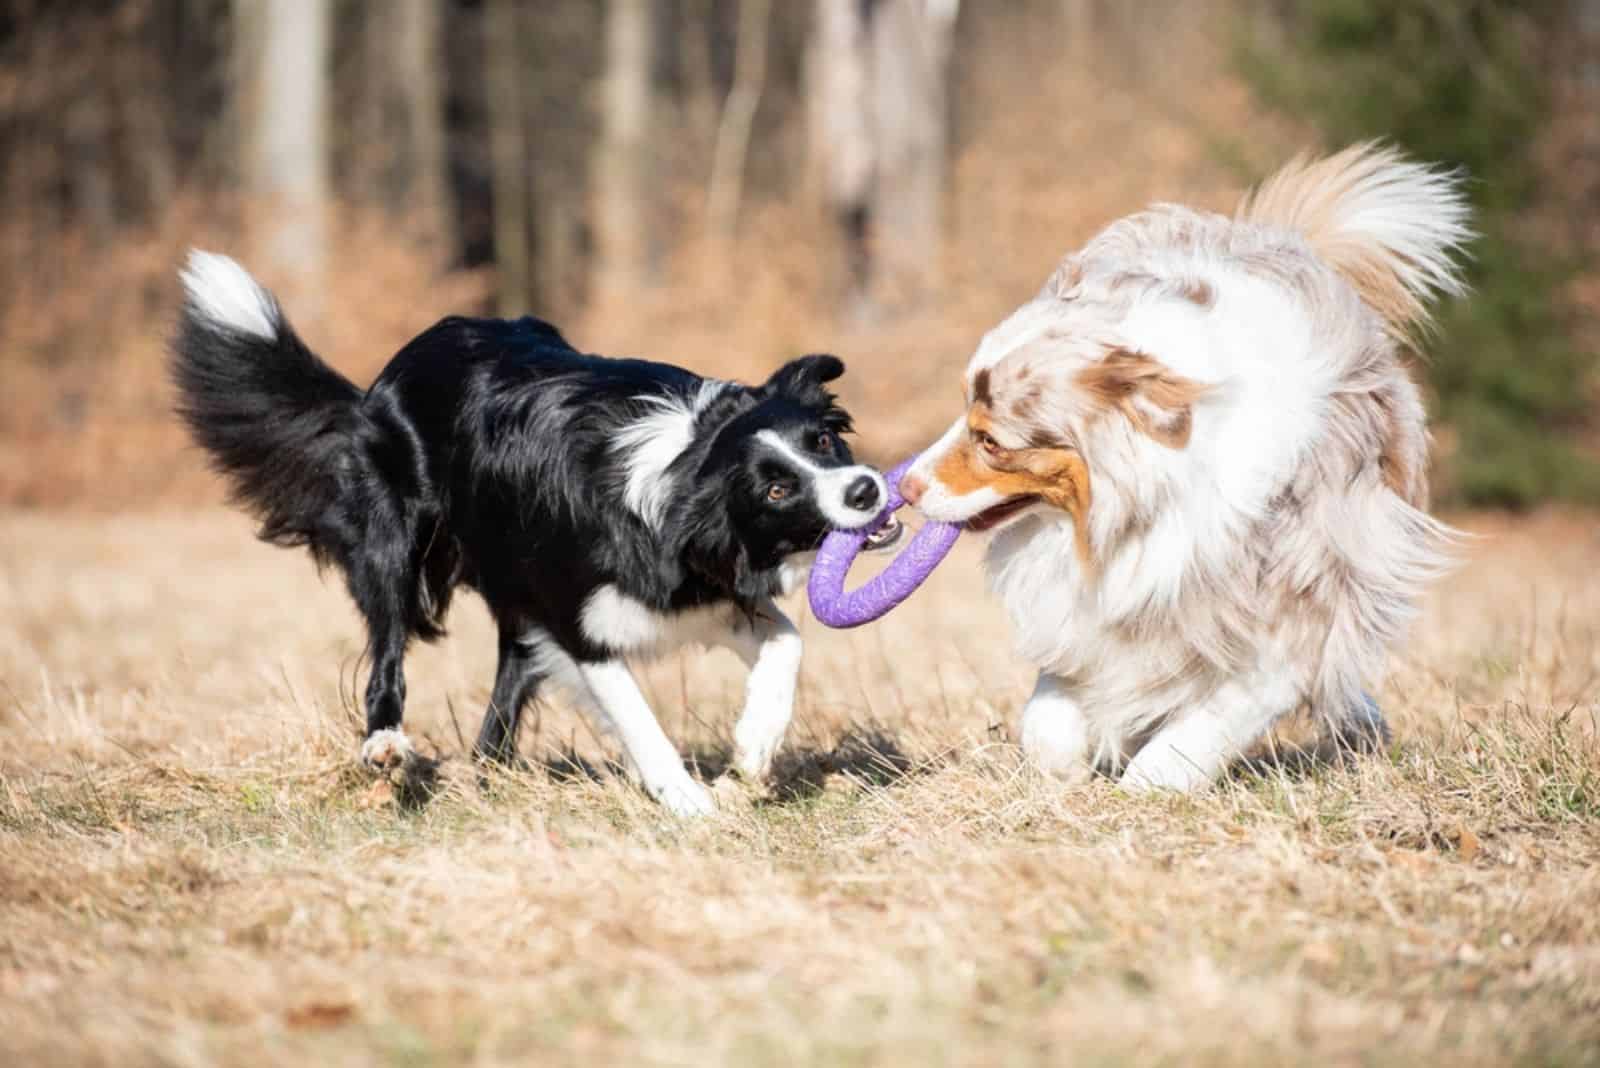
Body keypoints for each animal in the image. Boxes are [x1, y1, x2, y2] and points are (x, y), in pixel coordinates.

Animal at [178, 252, 902, 818]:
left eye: (823, 441)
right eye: (775, 489)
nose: (866, 490)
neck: (681, 469)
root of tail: (391, 371)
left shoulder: (699, 595)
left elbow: (787, 641)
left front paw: (753, 749)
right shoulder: (585, 624)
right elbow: (638, 718)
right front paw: (689, 801)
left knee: (503, 693)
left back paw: (489, 779)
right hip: (396, 547)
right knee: (387, 649)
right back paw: (384, 745)